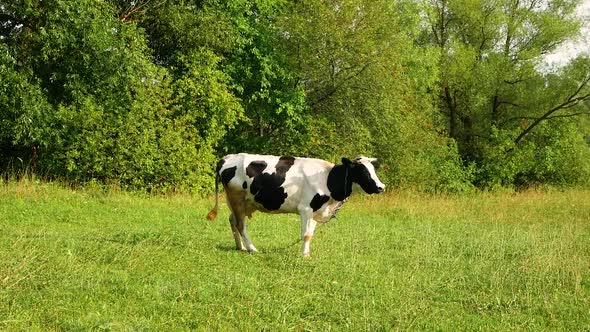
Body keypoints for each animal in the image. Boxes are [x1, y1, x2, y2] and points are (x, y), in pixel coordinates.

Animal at [208, 153, 388, 256]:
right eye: (362, 171)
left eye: (374, 170)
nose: (381, 187)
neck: (327, 178)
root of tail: (227, 158)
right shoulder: (306, 209)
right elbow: (306, 234)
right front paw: (303, 256)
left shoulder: (317, 211)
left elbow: (311, 234)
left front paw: (306, 254)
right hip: (237, 198)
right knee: (240, 224)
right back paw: (252, 248)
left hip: (241, 201)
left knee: (233, 221)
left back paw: (241, 247)